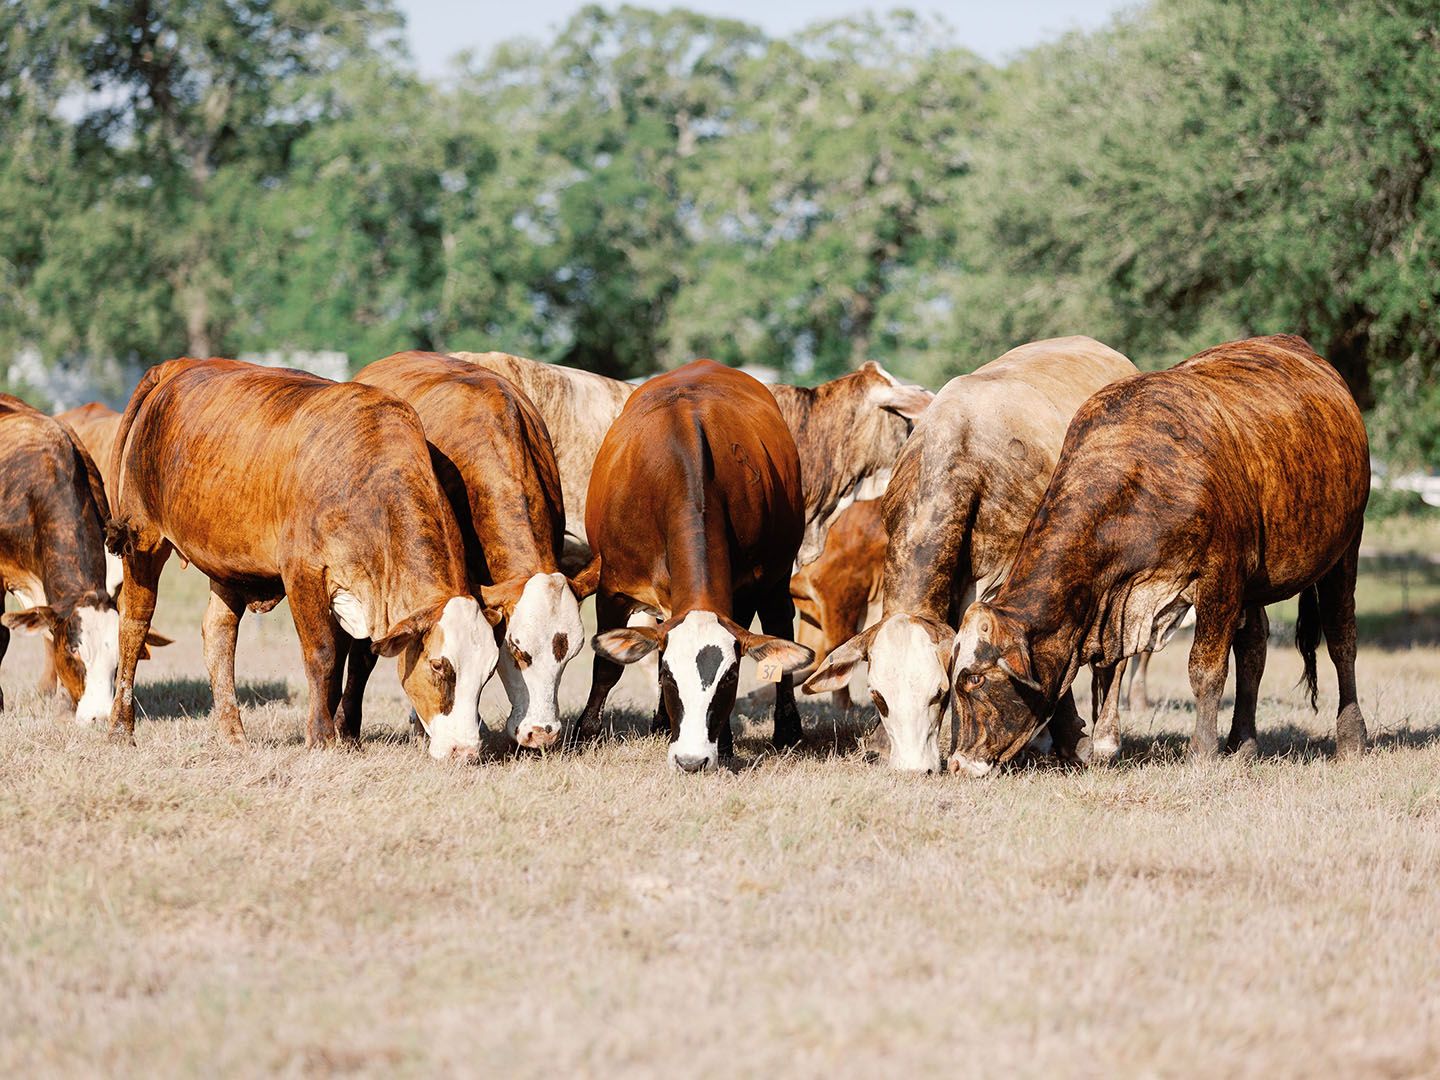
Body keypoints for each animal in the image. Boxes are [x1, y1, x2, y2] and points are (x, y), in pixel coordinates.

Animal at [105, 358, 501, 760]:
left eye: (488, 673)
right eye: (439, 666)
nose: (466, 750)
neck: (369, 484)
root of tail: (178, 366)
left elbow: (349, 662)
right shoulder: (304, 574)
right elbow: (323, 655)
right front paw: (322, 737)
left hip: (227, 565)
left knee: (218, 634)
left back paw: (234, 736)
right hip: (143, 540)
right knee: (134, 625)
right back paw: (121, 729)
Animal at [577, 360, 814, 771]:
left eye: (730, 678)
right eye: (669, 675)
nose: (691, 759)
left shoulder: (744, 590)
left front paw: (725, 743)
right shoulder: (614, 587)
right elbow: (607, 666)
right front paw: (586, 731)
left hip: (777, 575)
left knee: (780, 626)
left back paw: (787, 729)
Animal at [948, 335, 1369, 776]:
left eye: (975, 679)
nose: (957, 763)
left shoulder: (1218, 578)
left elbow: (1205, 669)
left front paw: (1202, 750)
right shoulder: (1115, 604)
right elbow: (1108, 670)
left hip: (1346, 547)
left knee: (1341, 639)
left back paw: (1351, 738)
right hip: (1254, 586)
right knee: (1253, 648)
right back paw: (1243, 743)